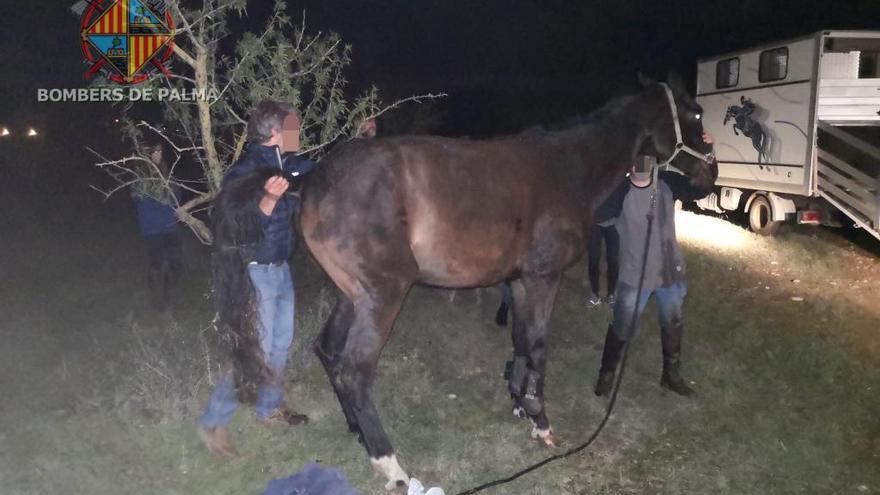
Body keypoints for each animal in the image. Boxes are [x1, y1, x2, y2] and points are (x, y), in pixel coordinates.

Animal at [296, 74, 716, 492]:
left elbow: (521, 340)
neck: (567, 169)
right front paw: (541, 421)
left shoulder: (518, 281)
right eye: (696, 113)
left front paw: (520, 402)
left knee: (328, 351)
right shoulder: (544, 277)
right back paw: (389, 464)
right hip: (383, 295)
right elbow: (540, 345)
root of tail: (317, 183)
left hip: (353, 295)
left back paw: (357, 431)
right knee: (355, 371)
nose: (710, 175)